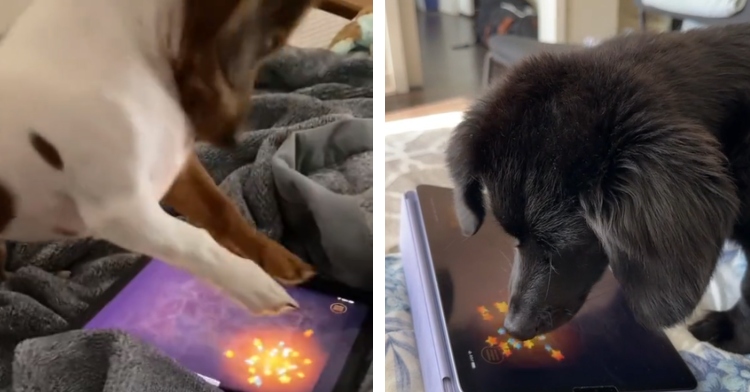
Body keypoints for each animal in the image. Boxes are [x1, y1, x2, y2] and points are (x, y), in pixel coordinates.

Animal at [0, 0, 320, 312]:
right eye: (273, 41)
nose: (232, 134)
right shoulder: (123, 211)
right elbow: (196, 243)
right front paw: (256, 286)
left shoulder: (177, 170)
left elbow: (223, 212)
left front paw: (277, 259)